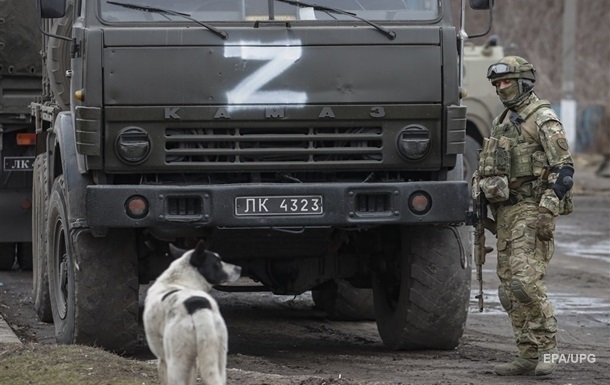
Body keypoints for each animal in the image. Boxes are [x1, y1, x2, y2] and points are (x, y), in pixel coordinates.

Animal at [144, 242, 241, 382]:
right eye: (218, 263)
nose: (240, 268)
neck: (177, 280)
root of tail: (198, 307)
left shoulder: (162, 359)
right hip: (219, 360)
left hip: (176, 363)